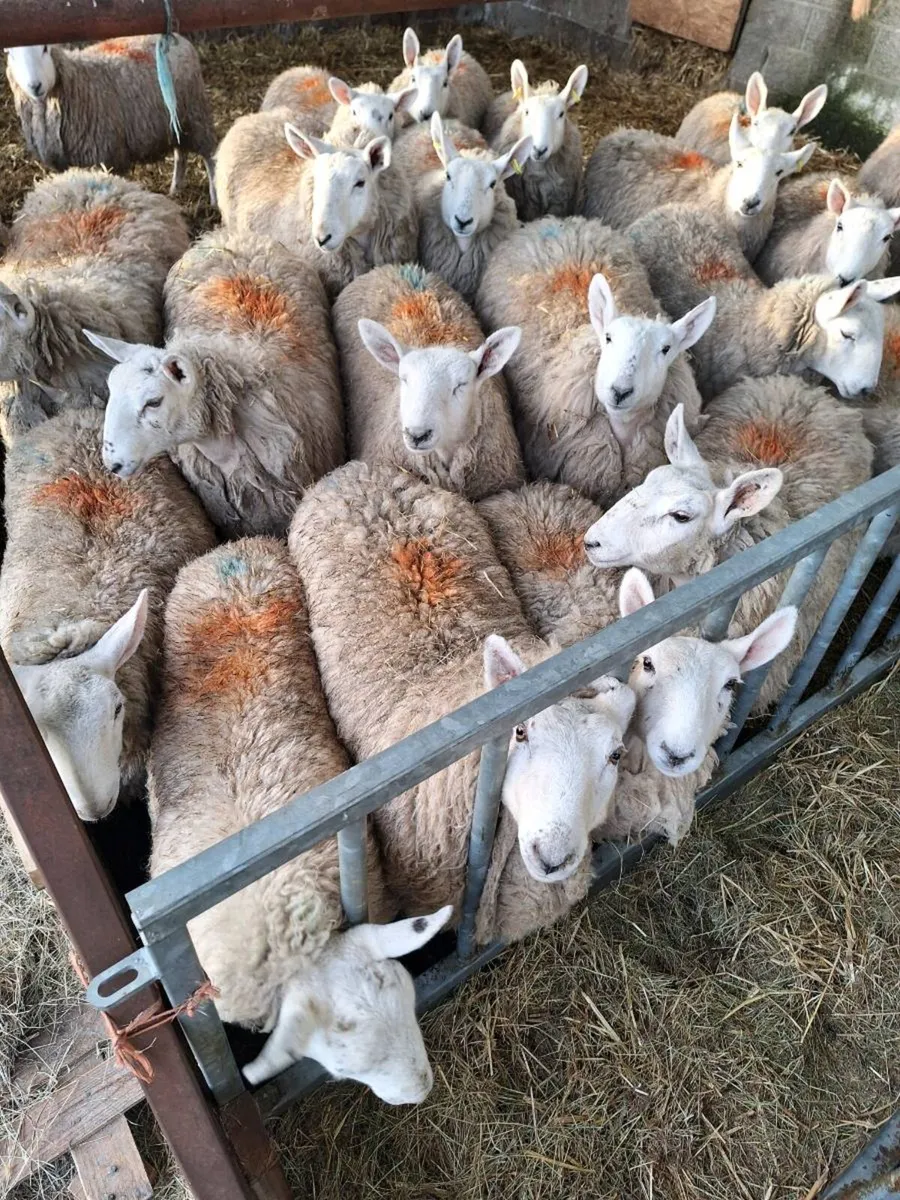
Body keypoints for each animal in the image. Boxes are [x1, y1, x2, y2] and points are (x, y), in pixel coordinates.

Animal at [5, 39, 216, 202]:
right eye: (11, 54)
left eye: (45, 49)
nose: (35, 86)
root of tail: (178, 39)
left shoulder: (108, 156)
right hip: (177, 122)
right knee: (181, 153)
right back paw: (175, 189)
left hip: (196, 115)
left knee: (210, 156)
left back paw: (214, 200)